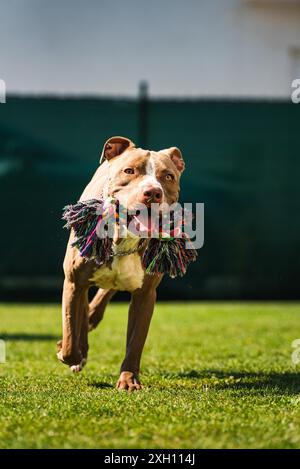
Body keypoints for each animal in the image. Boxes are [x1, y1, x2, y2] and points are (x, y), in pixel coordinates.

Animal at [56, 136, 185, 392]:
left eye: (168, 176)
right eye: (129, 171)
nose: (152, 192)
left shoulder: (145, 295)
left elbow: (135, 342)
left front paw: (128, 380)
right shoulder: (73, 281)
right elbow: (70, 336)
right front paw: (73, 355)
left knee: (104, 294)